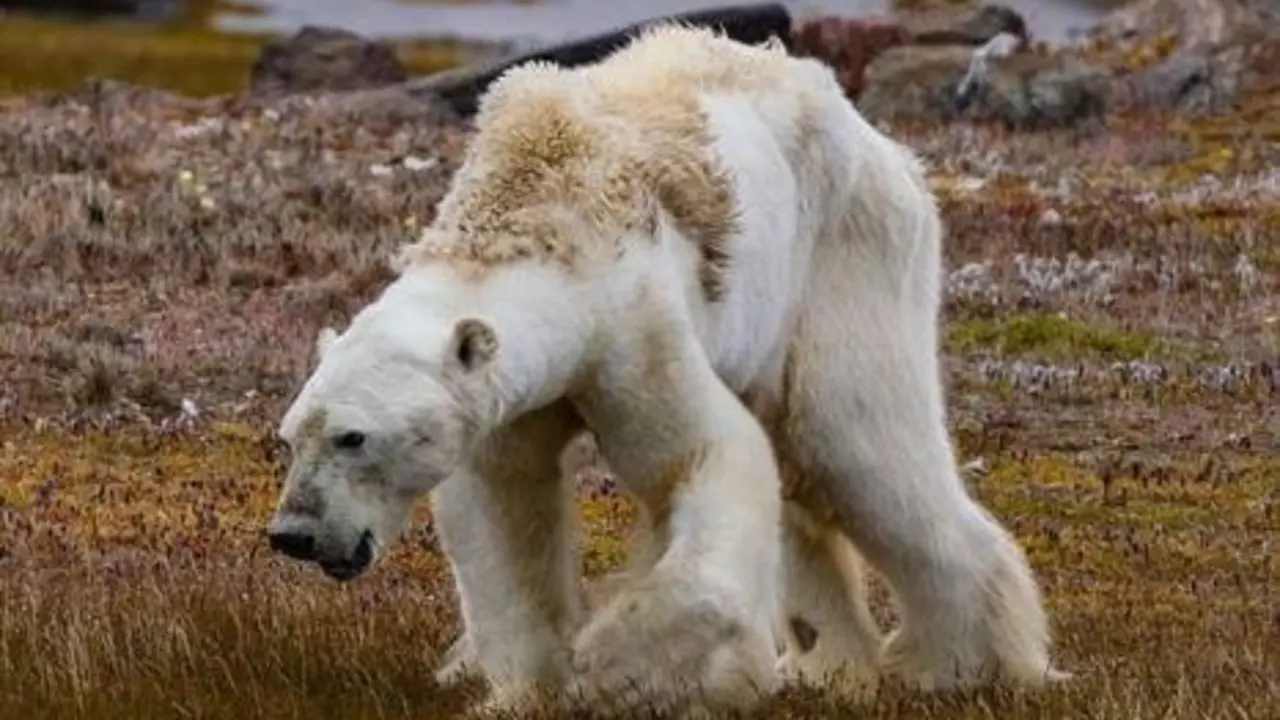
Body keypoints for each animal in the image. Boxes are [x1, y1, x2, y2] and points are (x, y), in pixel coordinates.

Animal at [266, 23, 1067, 717]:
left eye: (354, 437)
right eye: (291, 435)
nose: (293, 534)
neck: (534, 210)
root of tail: (885, 146)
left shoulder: (631, 328)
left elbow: (704, 457)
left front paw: (623, 666)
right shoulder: (508, 401)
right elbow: (502, 509)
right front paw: (523, 689)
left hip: (844, 257)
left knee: (855, 445)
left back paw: (959, 665)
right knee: (805, 484)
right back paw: (833, 666)